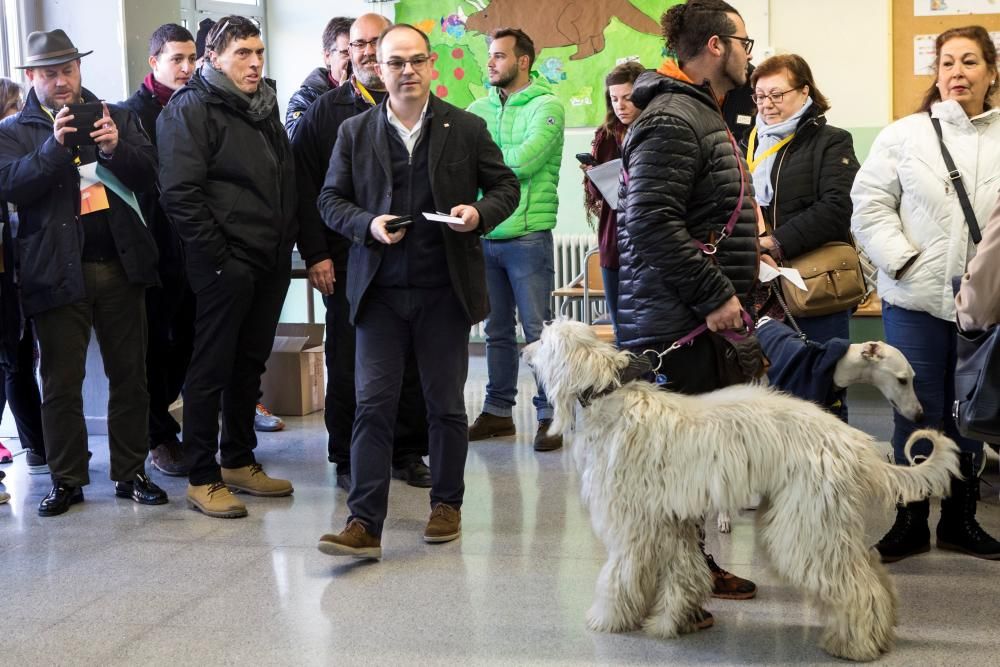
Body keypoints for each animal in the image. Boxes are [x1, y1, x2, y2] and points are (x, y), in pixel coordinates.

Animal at [524, 320, 960, 664]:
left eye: (544, 340)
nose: (525, 351)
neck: (608, 397)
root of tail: (854, 442)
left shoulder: (632, 522)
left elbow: (621, 574)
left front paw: (610, 617)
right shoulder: (670, 519)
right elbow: (684, 572)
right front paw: (673, 620)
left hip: (804, 526)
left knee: (857, 584)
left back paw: (856, 645)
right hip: (824, 523)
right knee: (872, 571)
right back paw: (881, 630)